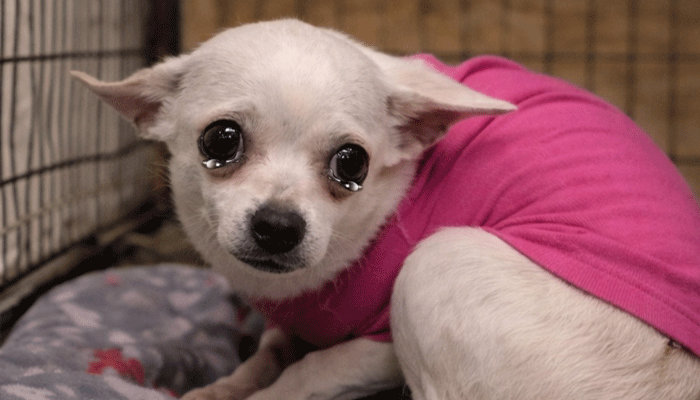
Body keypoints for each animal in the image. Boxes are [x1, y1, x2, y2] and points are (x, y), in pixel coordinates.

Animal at [73, 19, 700, 400]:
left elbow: (307, 373)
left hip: (438, 263)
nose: (278, 225)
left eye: (352, 163)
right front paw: (224, 385)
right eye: (220, 141)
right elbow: (271, 350)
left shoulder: (378, 351)